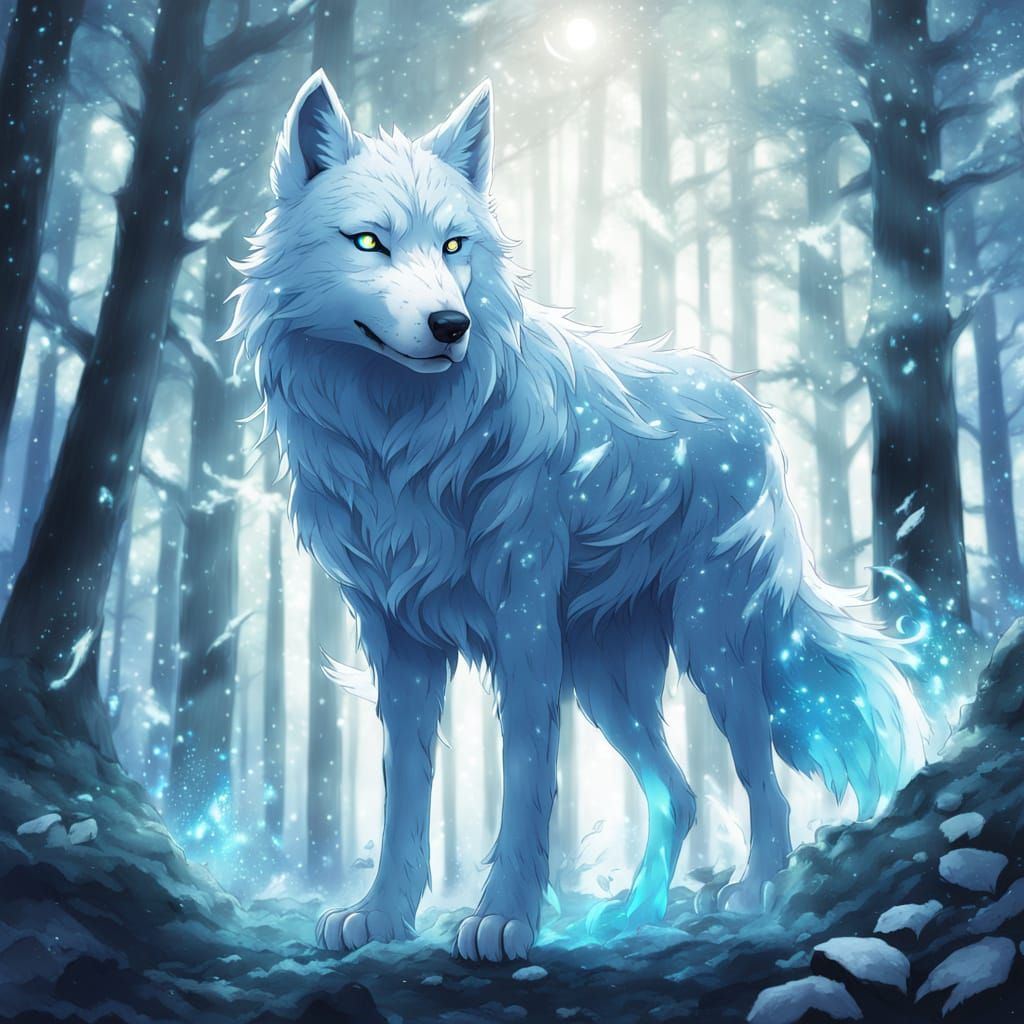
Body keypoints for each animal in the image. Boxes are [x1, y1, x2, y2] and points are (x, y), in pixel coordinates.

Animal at [226, 70, 928, 962]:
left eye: (454, 247)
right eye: (369, 243)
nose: (451, 325)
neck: (402, 439)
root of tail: (753, 408)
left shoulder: (523, 626)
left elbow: (528, 779)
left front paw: (504, 919)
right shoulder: (400, 642)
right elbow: (402, 792)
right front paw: (381, 915)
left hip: (710, 648)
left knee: (762, 780)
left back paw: (754, 893)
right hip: (605, 679)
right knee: (680, 795)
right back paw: (633, 915)